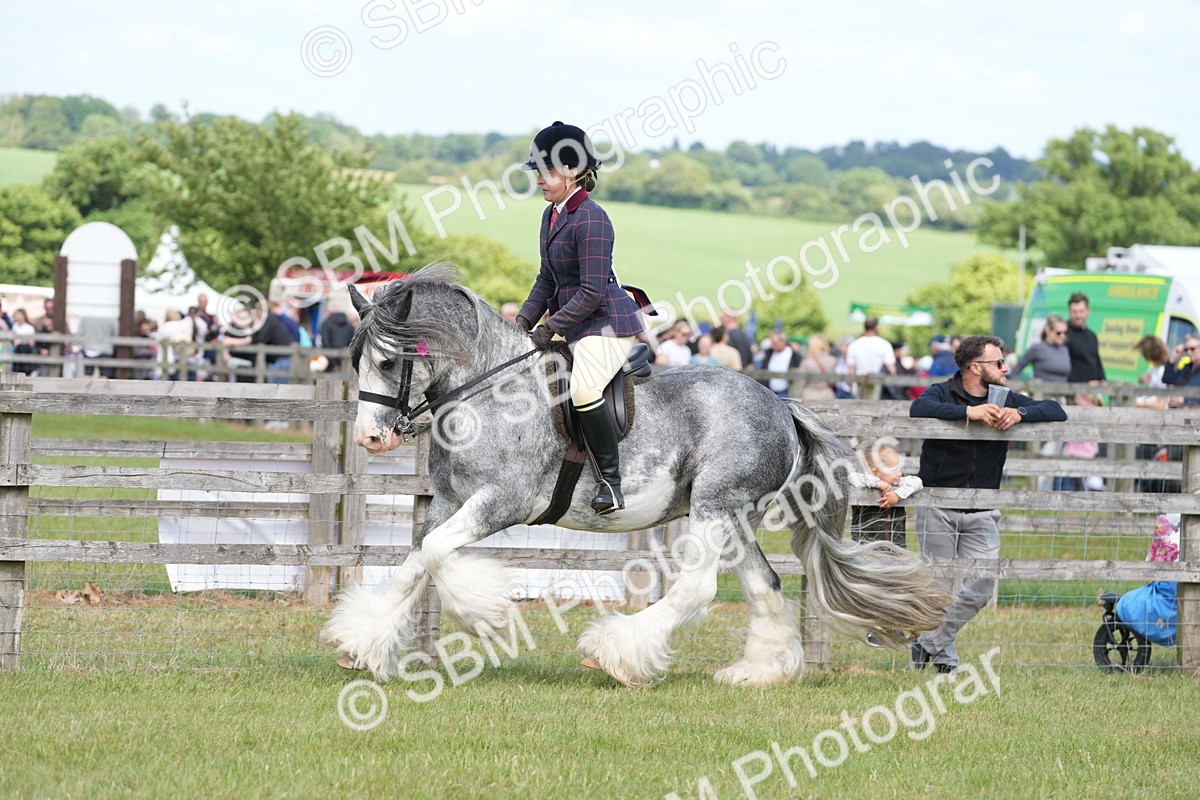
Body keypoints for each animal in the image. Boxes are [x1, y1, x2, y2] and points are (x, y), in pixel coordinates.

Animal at [321, 264, 950, 687]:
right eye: (354, 360)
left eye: (389, 360)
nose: (370, 439)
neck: (487, 393)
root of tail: (780, 403)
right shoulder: (451, 504)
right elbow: (417, 560)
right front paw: (363, 643)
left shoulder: (502, 503)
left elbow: (434, 556)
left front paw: (485, 612)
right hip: (735, 515)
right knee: (763, 584)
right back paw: (757, 672)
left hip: (715, 507)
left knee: (698, 587)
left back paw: (616, 654)